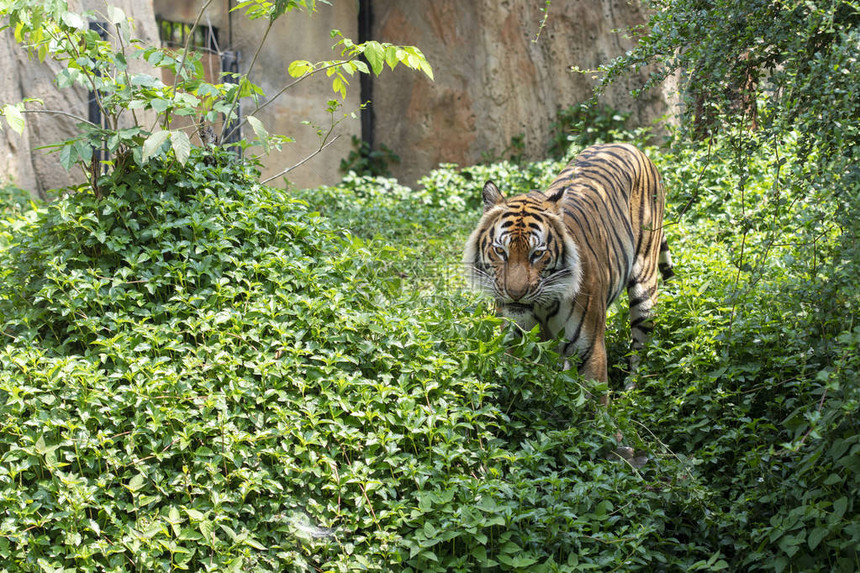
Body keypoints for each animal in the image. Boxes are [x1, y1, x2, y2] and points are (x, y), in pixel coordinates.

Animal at [464, 142, 672, 388]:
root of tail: (629, 145)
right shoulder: (515, 345)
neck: (541, 307)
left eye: (538, 253)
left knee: (641, 347)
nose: (515, 295)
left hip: (644, 290)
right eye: (500, 251)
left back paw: (632, 389)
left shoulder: (590, 350)